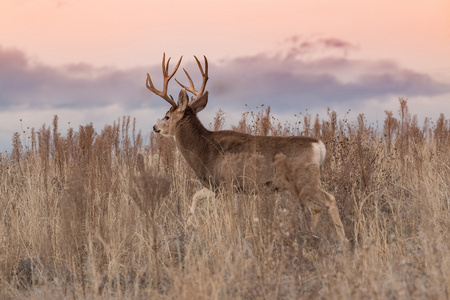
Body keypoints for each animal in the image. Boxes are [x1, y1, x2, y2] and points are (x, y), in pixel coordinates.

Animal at [146, 54, 346, 244]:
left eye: (167, 116)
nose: (154, 127)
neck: (203, 149)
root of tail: (318, 146)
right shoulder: (216, 185)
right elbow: (196, 196)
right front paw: (188, 225)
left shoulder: (225, 183)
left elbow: (228, 216)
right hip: (297, 185)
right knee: (316, 207)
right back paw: (312, 235)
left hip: (306, 179)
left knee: (329, 200)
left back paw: (342, 241)